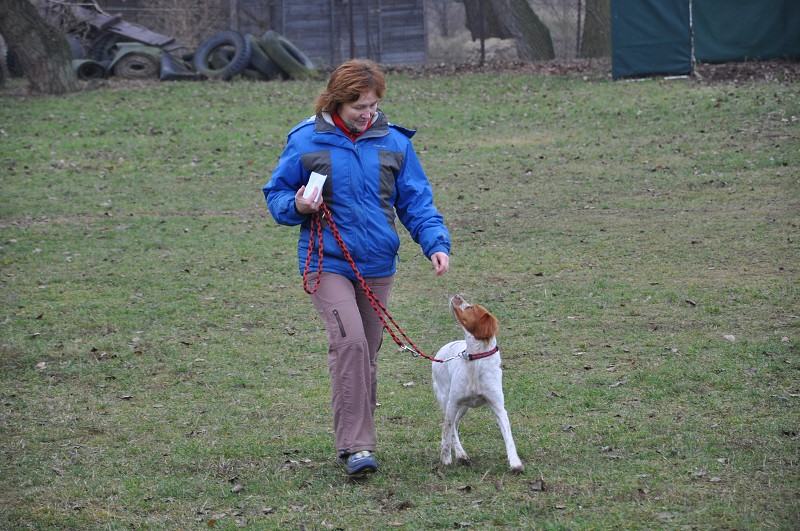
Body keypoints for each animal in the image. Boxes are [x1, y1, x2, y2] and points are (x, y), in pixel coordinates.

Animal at [432, 296, 524, 474]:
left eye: (472, 308)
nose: (456, 295)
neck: (475, 359)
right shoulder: (453, 402)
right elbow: (447, 431)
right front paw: (445, 459)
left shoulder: (498, 407)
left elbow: (509, 437)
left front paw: (515, 463)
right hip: (447, 399)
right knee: (451, 428)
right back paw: (460, 455)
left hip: (463, 408)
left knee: (455, 425)